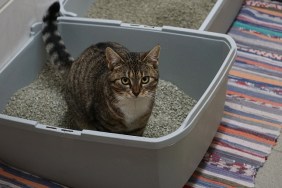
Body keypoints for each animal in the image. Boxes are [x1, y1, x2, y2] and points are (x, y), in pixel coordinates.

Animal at [41, 1, 161, 137]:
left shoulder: (139, 128)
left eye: (145, 79)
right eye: (125, 80)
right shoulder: (102, 124)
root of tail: (73, 64)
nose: (136, 92)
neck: (133, 107)